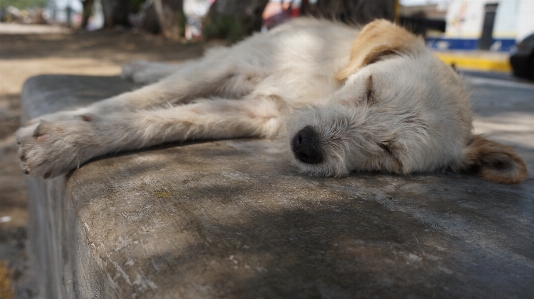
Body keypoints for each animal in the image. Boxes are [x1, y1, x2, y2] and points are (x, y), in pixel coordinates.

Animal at [15, 18, 528, 184]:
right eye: (369, 89)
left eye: (390, 153)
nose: (306, 144)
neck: (321, 87)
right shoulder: (234, 68)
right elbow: (145, 98)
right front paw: (60, 120)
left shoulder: (255, 113)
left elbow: (161, 120)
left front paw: (68, 141)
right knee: (185, 66)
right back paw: (140, 65)